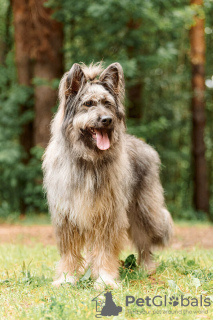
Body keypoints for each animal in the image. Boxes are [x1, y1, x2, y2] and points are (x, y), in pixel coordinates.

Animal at [42, 62, 174, 288]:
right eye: (88, 103)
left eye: (107, 103)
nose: (107, 119)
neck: (87, 160)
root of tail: (145, 146)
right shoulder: (66, 217)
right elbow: (69, 252)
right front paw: (67, 278)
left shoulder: (107, 215)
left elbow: (104, 250)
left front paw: (104, 279)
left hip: (144, 210)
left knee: (145, 239)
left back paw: (146, 267)